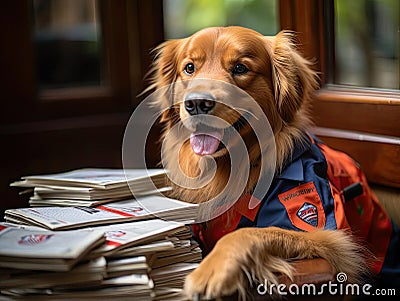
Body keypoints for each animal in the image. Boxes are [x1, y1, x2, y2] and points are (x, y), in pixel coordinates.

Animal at [145, 27, 396, 298]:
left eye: (240, 68)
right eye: (189, 68)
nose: (197, 103)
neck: (235, 166)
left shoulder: (329, 238)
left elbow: (251, 233)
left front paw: (212, 270)